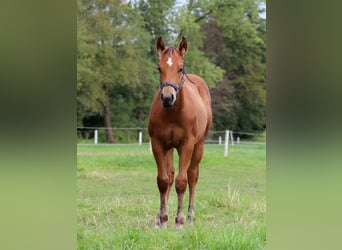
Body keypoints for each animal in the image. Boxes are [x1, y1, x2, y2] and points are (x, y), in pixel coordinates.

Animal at [148, 36, 212, 229]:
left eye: (180, 68)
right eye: (159, 68)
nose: (168, 97)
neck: (173, 113)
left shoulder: (186, 145)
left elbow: (182, 182)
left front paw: (179, 221)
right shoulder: (158, 144)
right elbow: (163, 181)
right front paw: (162, 219)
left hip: (199, 145)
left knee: (192, 175)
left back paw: (190, 216)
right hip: (170, 147)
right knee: (169, 176)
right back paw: (160, 217)